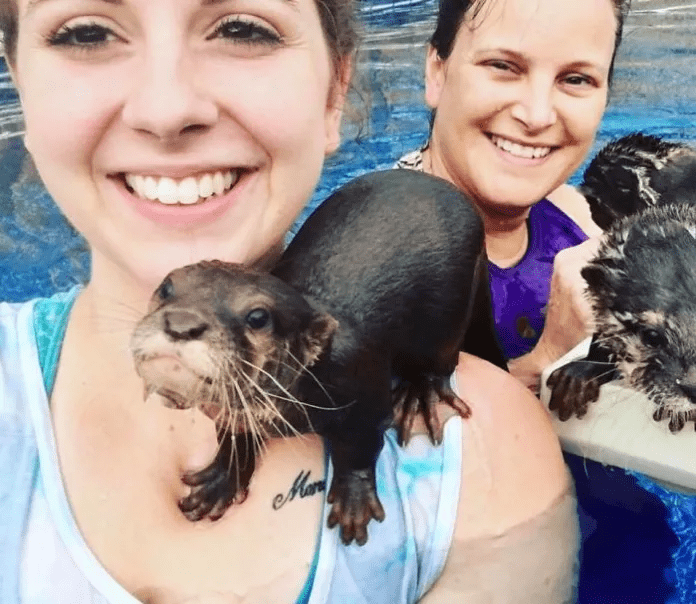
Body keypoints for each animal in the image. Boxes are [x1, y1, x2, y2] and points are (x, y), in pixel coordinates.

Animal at [130, 168, 506, 544]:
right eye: (167, 287)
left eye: (258, 317)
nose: (181, 323)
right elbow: (233, 437)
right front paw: (221, 481)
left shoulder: (363, 382)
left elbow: (361, 443)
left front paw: (354, 499)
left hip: (452, 302)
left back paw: (420, 392)